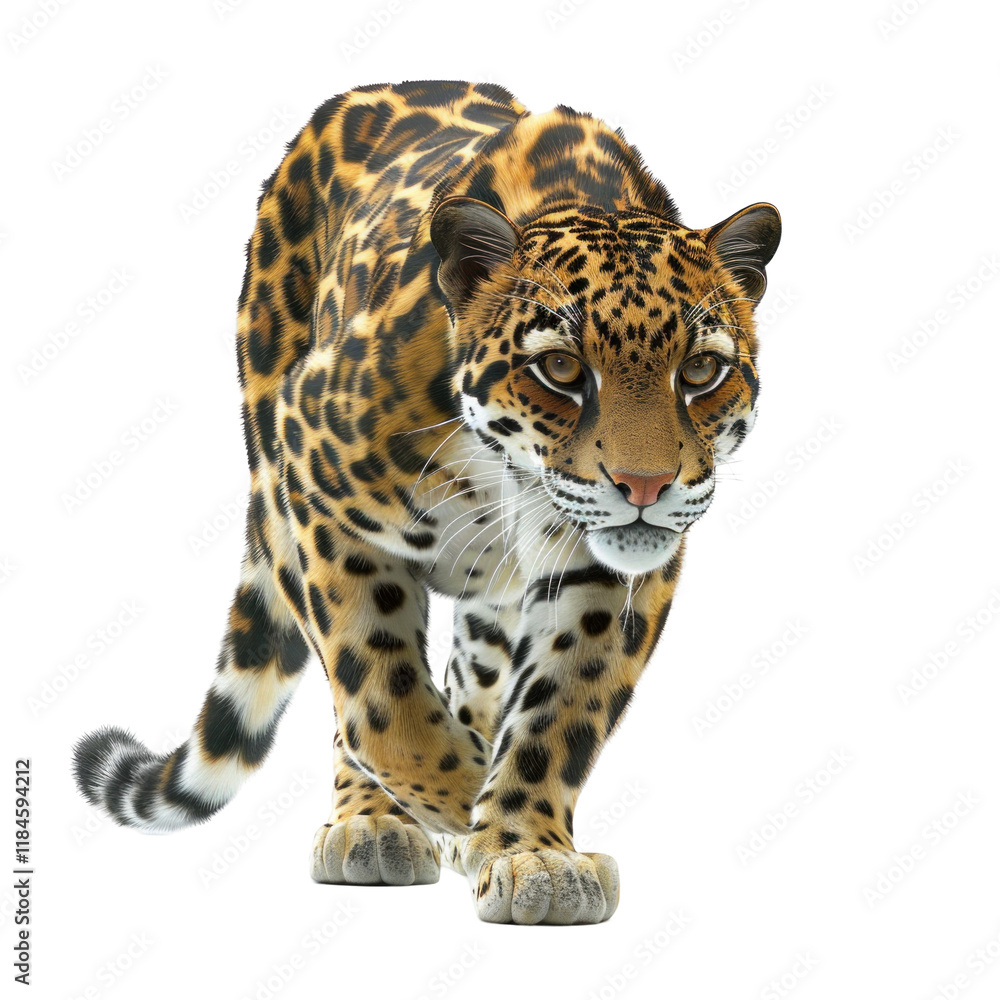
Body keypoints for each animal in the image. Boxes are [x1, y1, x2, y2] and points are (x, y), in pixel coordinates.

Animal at [73, 79, 781, 925]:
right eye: (561, 369)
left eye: (702, 370)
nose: (645, 487)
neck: (506, 478)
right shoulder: (317, 490)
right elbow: (384, 701)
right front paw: (467, 813)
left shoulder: (608, 574)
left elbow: (561, 709)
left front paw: (528, 847)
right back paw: (372, 826)